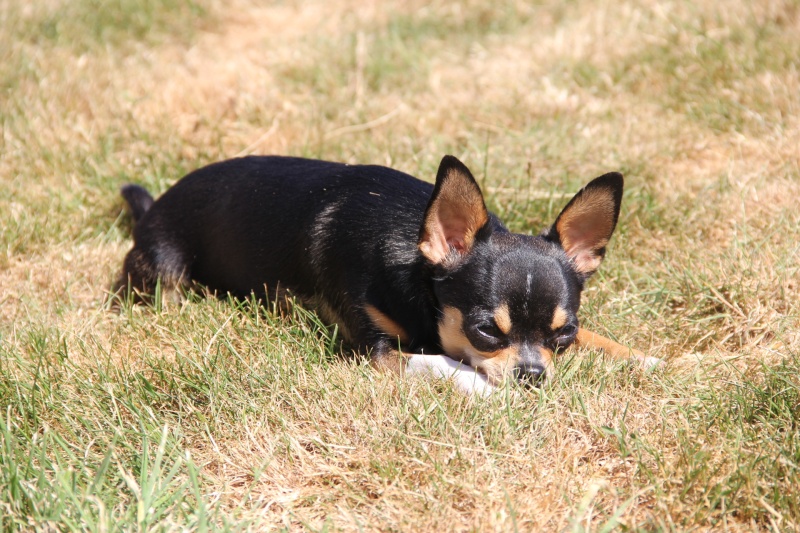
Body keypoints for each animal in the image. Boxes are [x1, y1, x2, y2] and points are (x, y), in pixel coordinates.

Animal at [117, 156, 656, 392]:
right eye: (486, 332)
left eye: (563, 336)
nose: (533, 374)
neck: (415, 273)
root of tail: (151, 209)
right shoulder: (374, 350)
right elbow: (439, 361)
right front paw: (481, 386)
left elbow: (602, 339)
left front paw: (639, 357)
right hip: (164, 267)